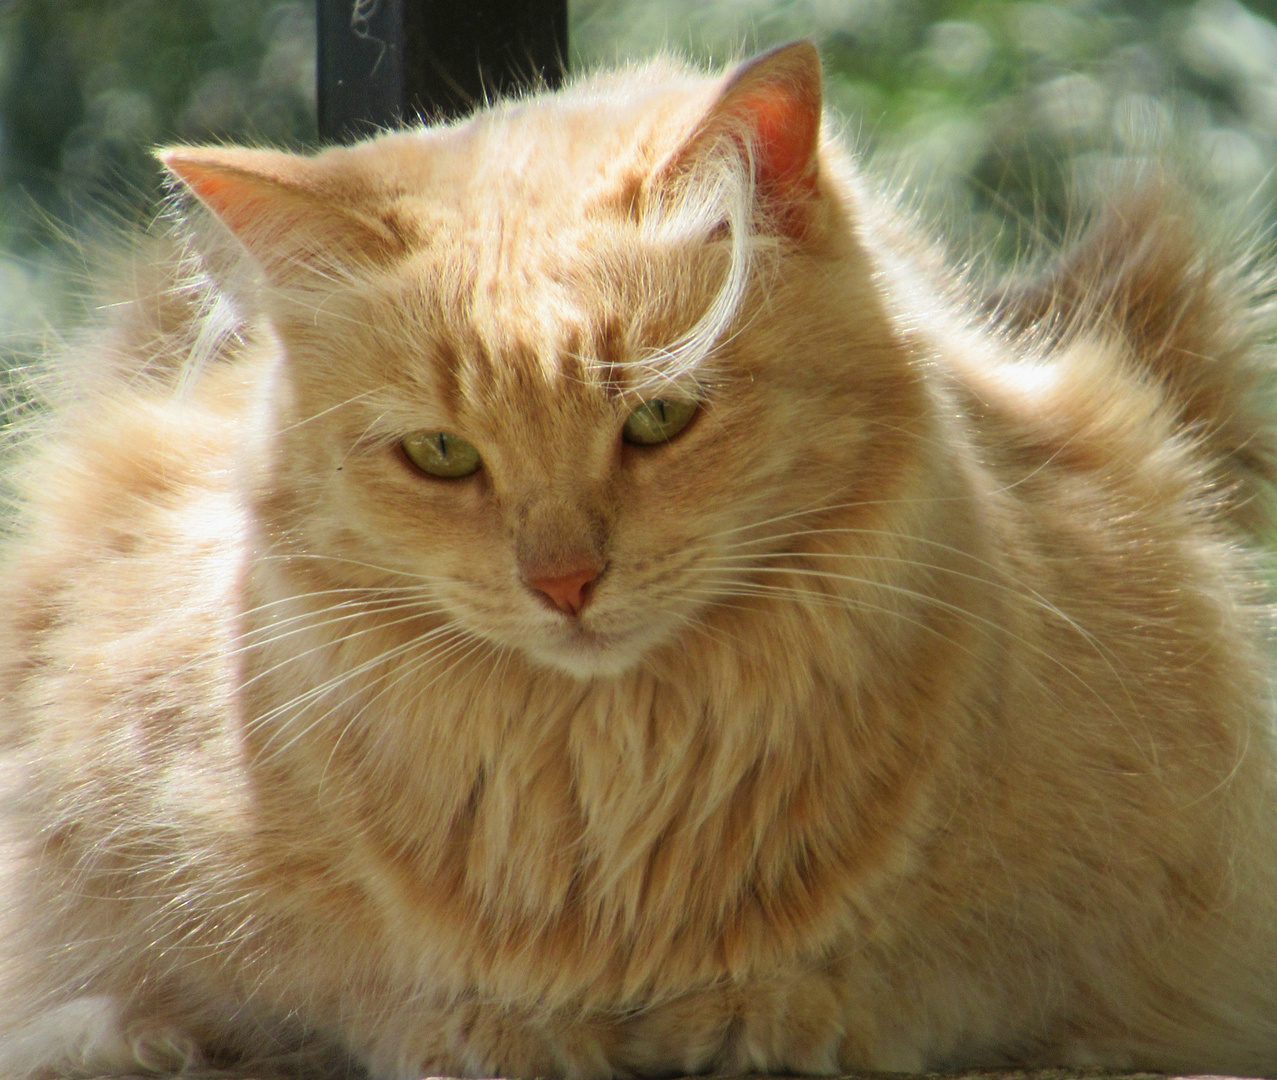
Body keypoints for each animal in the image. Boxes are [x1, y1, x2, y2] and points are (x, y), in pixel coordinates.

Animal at [2, 40, 1277, 1080]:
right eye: (440, 455)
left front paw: (769, 1010)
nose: (562, 584)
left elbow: (925, 974)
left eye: (658, 420)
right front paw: (494, 1024)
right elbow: (340, 989)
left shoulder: (1143, 886)